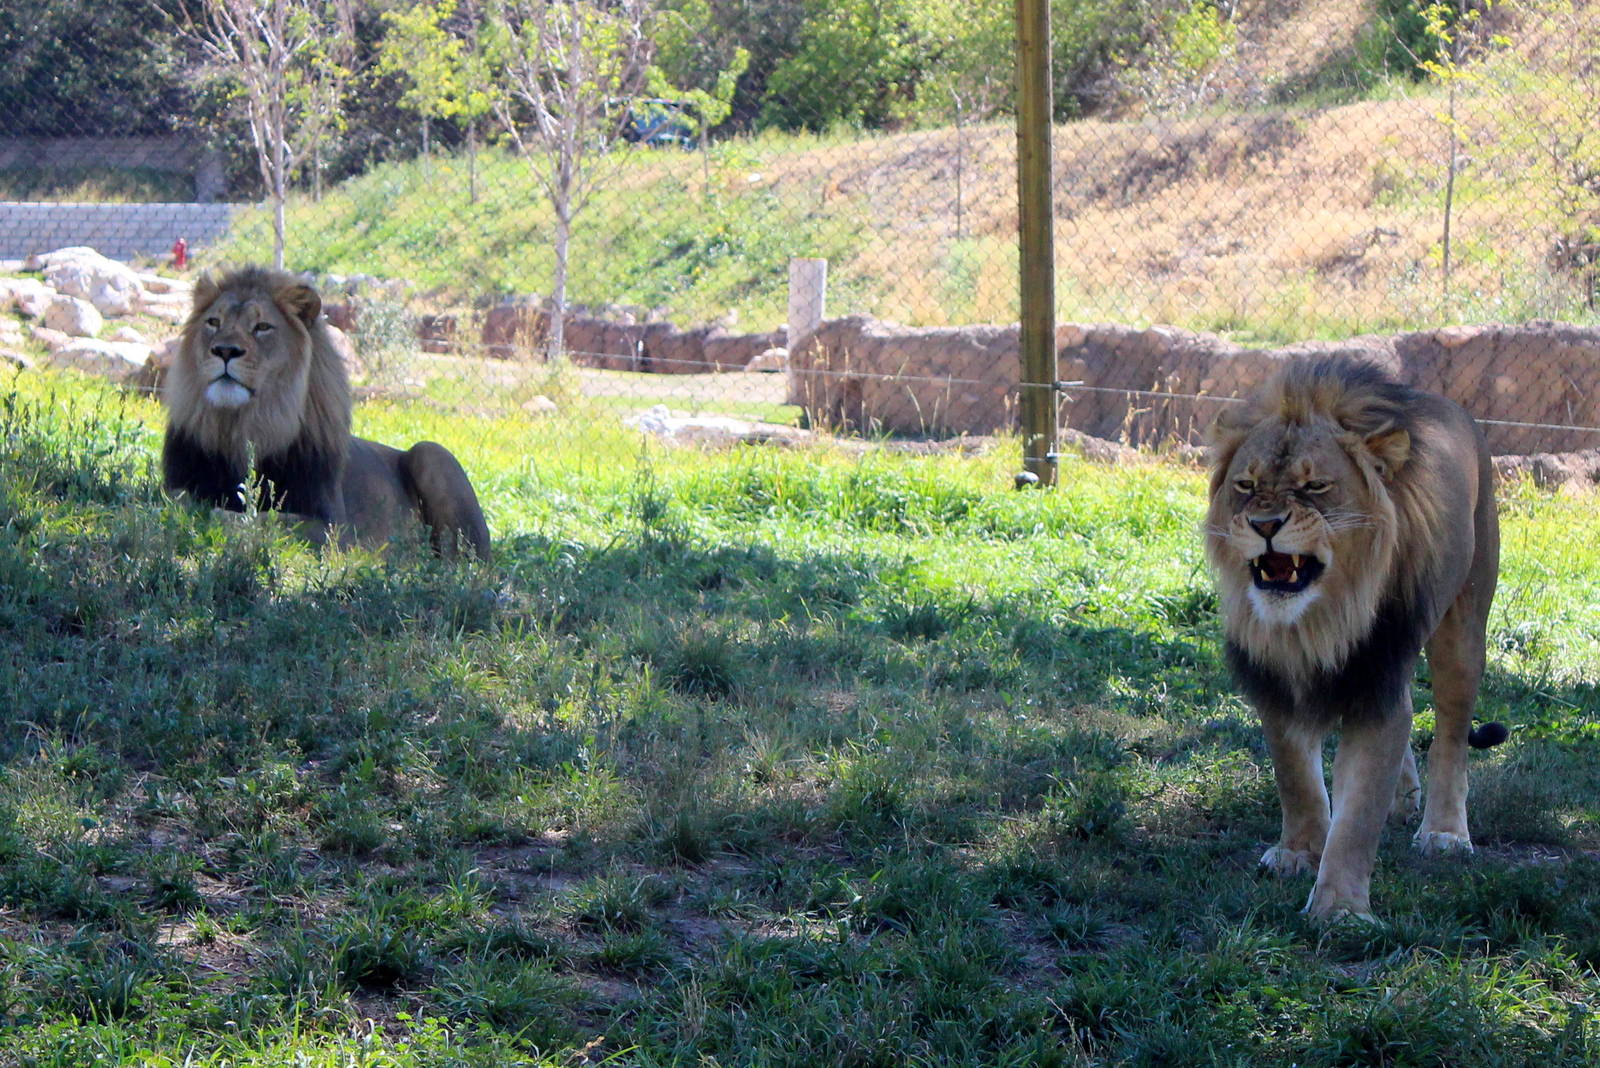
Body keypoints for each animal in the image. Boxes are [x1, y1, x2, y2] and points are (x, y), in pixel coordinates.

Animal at [162, 266, 491, 561]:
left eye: (262, 327)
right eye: (213, 322)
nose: (224, 351)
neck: (247, 424)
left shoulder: (334, 529)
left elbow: (271, 519)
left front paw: (225, 515)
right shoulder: (177, 482)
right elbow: (178, 498)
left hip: (432, 453)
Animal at [1205, 355, 1504, 921]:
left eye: (1317, 486)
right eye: (1247, 485)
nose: (1264, 524)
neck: (1316, 622)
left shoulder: (1376, 679)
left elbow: (1359, 810)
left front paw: (1341, 908)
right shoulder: (1279, 680)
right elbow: (1296, 778)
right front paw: (1299, 853)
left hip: (1462, 625)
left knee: (1451, 735)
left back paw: (1444, 831)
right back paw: (1404, 799)